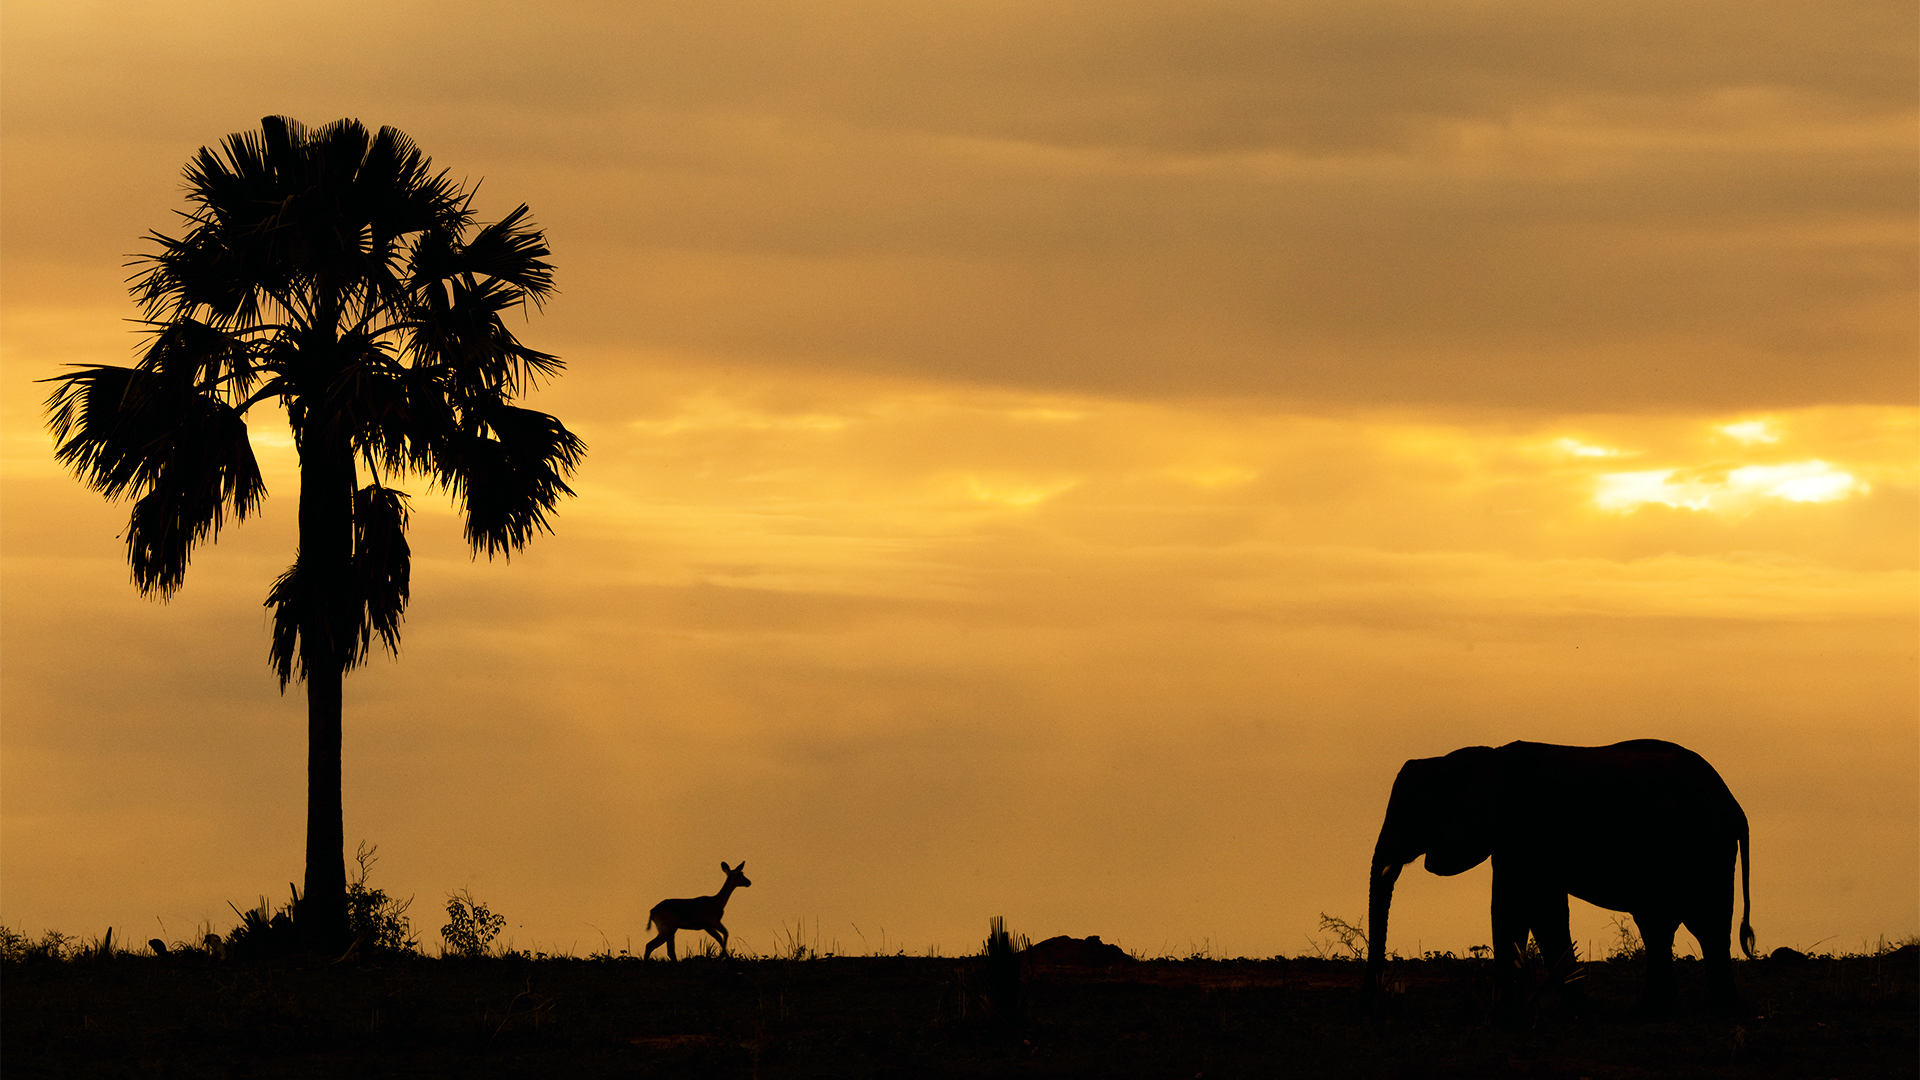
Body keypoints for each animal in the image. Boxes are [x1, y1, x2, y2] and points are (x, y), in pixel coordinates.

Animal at [1367, 734, 1758, 1006]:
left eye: (1412, 812)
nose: (1377, 997)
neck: (1484, 757)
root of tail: (1736, 806)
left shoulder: (1525, 833)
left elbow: (1527, 908)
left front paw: (1534, 1005)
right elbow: (1526, 909)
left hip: (1702, 849)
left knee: (1703, 922)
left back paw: (1710, 1008)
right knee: (1662, 924)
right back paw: (1659, 1008)